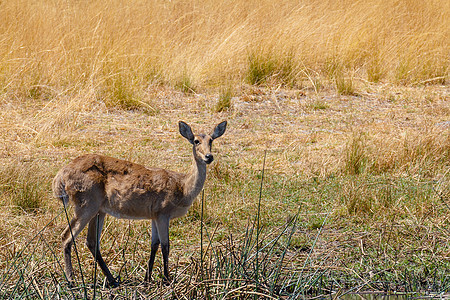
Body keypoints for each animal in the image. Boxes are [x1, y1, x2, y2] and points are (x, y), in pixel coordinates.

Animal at [52, 120, 227, 288]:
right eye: (196, 141)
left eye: (211, 140)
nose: (209, 156)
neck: (183, 188)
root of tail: (61, 176)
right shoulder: (163, 213)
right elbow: (166, 246)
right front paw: (167, 279)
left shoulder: (154, 216)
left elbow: (154, 245)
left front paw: (147, 279)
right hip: (86, 205)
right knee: (66, 236)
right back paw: (72, 281)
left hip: (99, 210)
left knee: (92, 242)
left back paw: (112, 280)